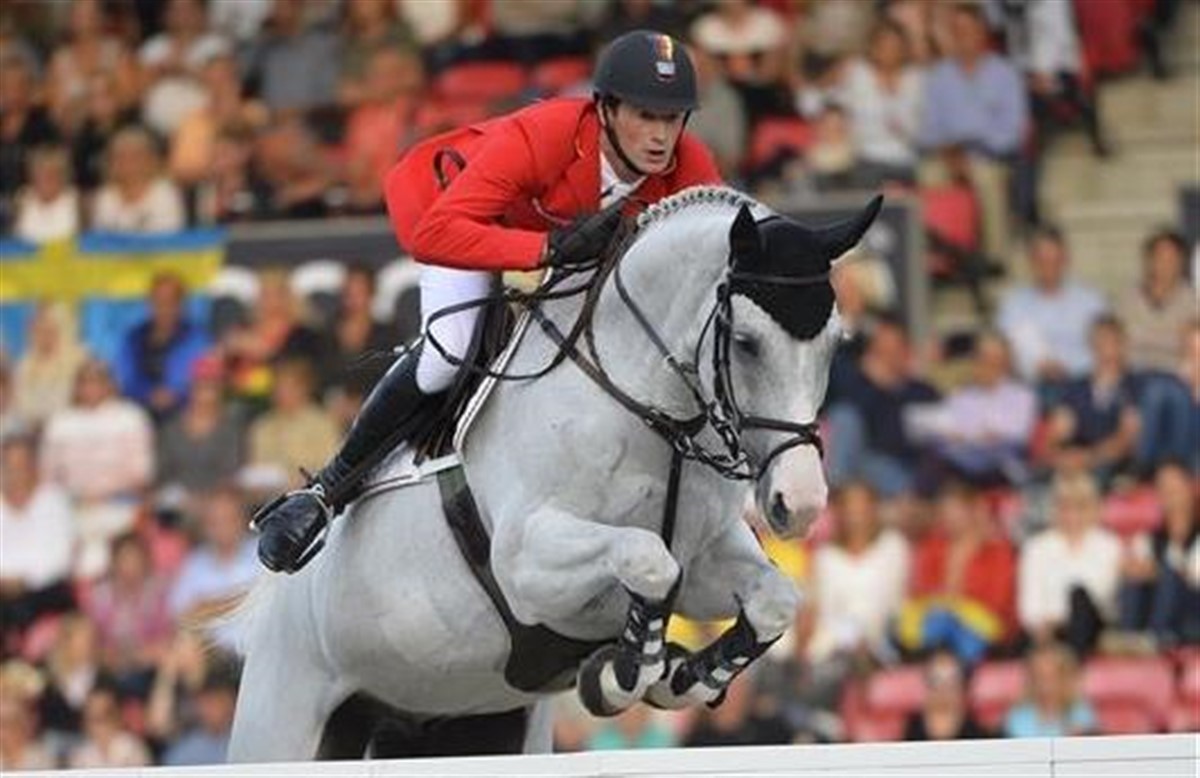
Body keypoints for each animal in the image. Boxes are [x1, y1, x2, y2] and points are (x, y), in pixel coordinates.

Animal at [227, 186, 881, 762]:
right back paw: (297, 521)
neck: (648, 414)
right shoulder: (528, 565)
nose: (799, 502)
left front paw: (684, 676)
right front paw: (627, 672)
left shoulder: (705, 558)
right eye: (745, 343)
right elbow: (647, 559)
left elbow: (773, 600)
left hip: (474, 724)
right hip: (287, 720)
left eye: (835, 343)